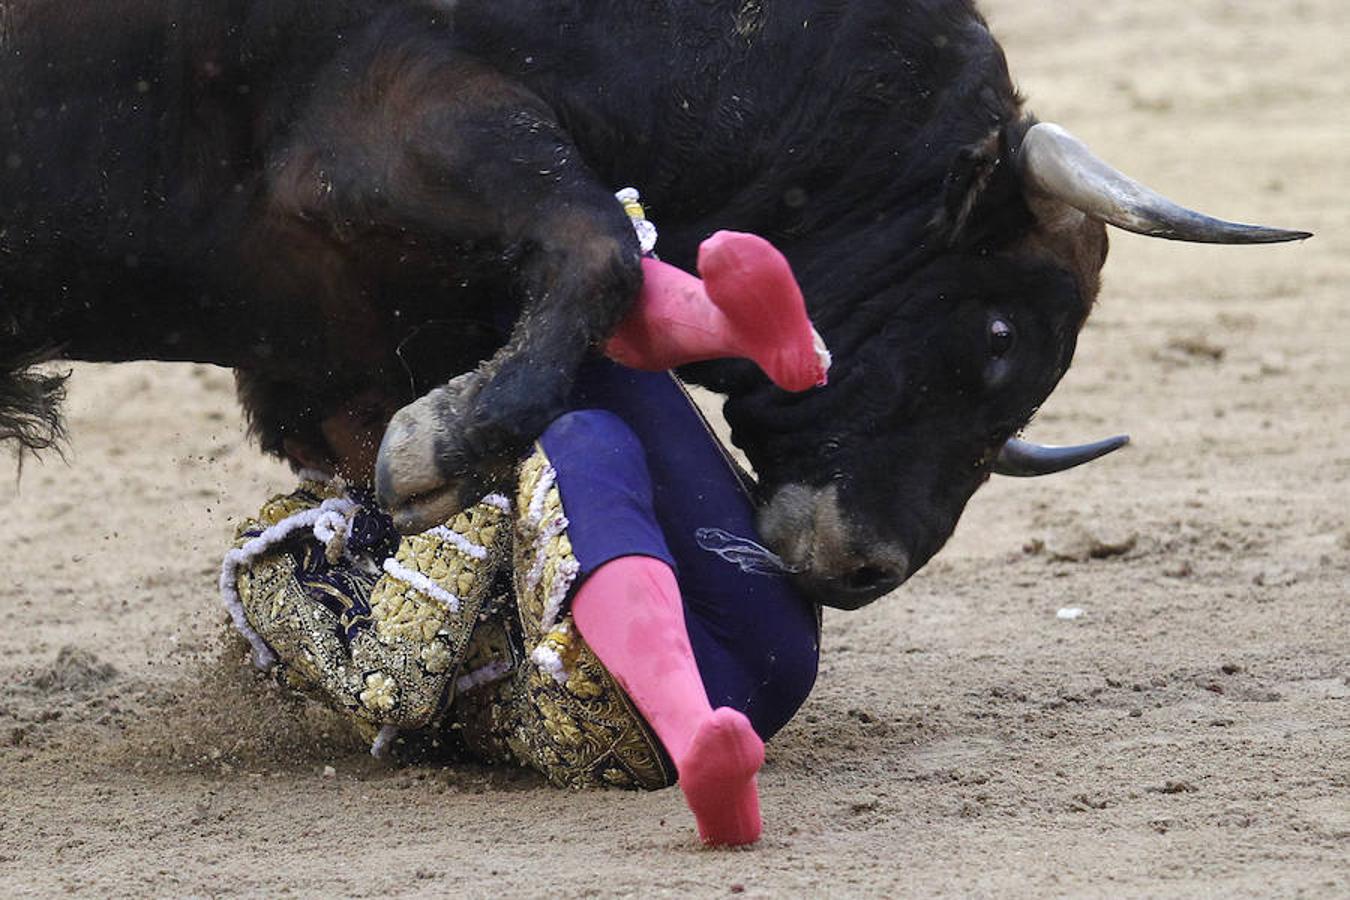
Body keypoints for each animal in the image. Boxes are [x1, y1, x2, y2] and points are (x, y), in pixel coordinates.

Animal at [0, 3, 1306, 609]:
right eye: (998, 338)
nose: (867, 568)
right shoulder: (396, 121)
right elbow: (598, 251)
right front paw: (437, 454)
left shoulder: (334, 336)